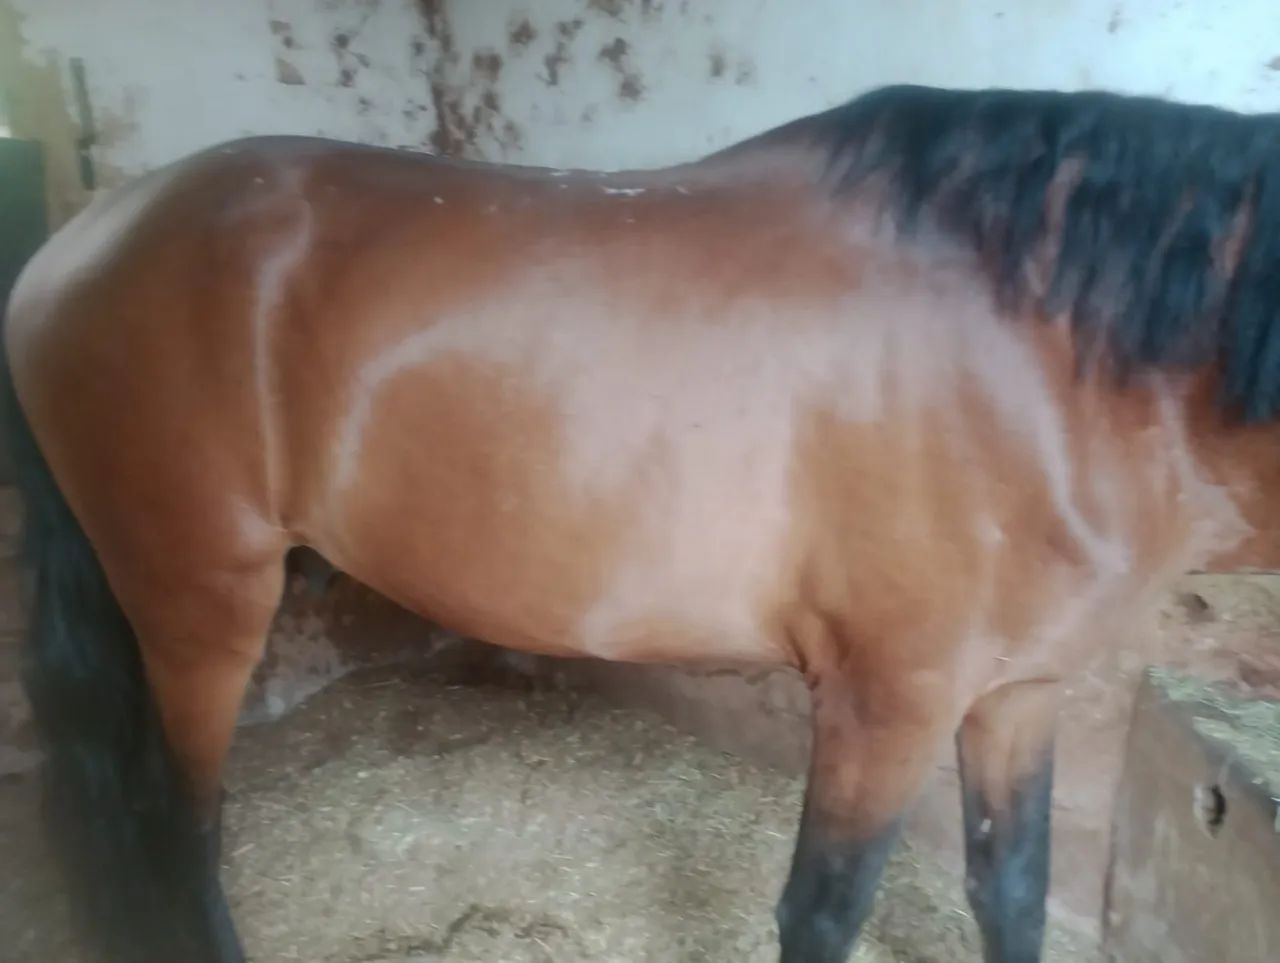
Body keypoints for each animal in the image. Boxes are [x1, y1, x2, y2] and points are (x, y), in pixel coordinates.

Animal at [7, 82, 1280, 963]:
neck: (1053, 356)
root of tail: (78, 242)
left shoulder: (1016, 693)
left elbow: (1006, 895)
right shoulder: (886, 702)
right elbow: (820, 913)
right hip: (199, 605)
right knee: (180, 830)